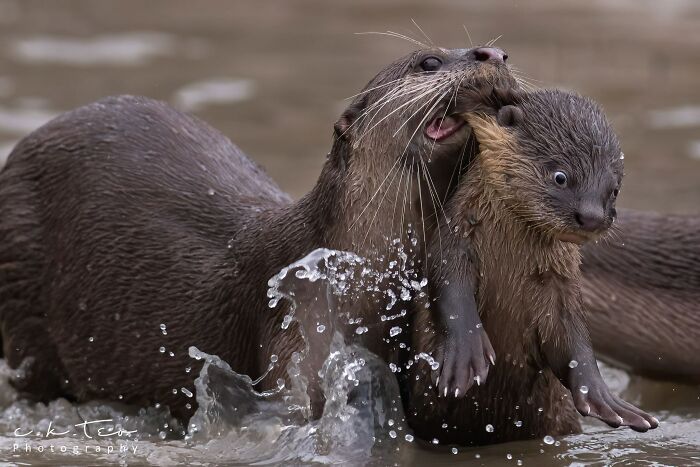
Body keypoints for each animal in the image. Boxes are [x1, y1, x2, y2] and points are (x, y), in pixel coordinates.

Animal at [407, 89, 658, 446]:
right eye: (561, 176)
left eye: (614, 190)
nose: (592, 216)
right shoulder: (455, 240)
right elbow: (449, 288)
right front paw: (465, 354)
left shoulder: (560, 283)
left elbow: (573, 340)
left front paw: (603, 397)